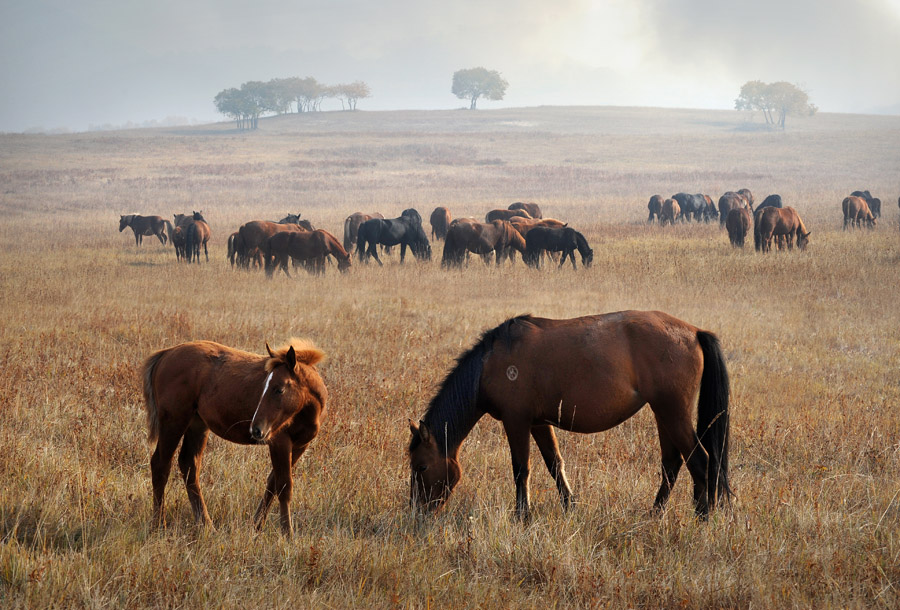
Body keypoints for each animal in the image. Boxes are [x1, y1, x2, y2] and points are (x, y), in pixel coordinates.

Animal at [139, 338, 326, 532]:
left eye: (279, 389)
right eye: (265, 387)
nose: (256, 430)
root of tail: (166, 354)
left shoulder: (299, 446)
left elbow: (272, 483)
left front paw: (257, 525)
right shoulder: (279, 442)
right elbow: (283, 487)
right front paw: (287, 533)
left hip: (197, 425)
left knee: (189, 465)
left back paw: (206, 524)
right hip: (173, 423)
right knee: (160, 465)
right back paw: (159, 523)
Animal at [408, 312, 732, 520]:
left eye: (421, 467)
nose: (416, 512)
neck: (489, 364)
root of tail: (694, 332)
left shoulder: (516, 421)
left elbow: (521, 469)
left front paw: (521, 515)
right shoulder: (539, 423)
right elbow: (554, 464)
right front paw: (570, 505)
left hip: (672, 413)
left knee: (700, 460)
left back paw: (702, 516)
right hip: (663, 413)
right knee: (672, 464)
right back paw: (656, 513)